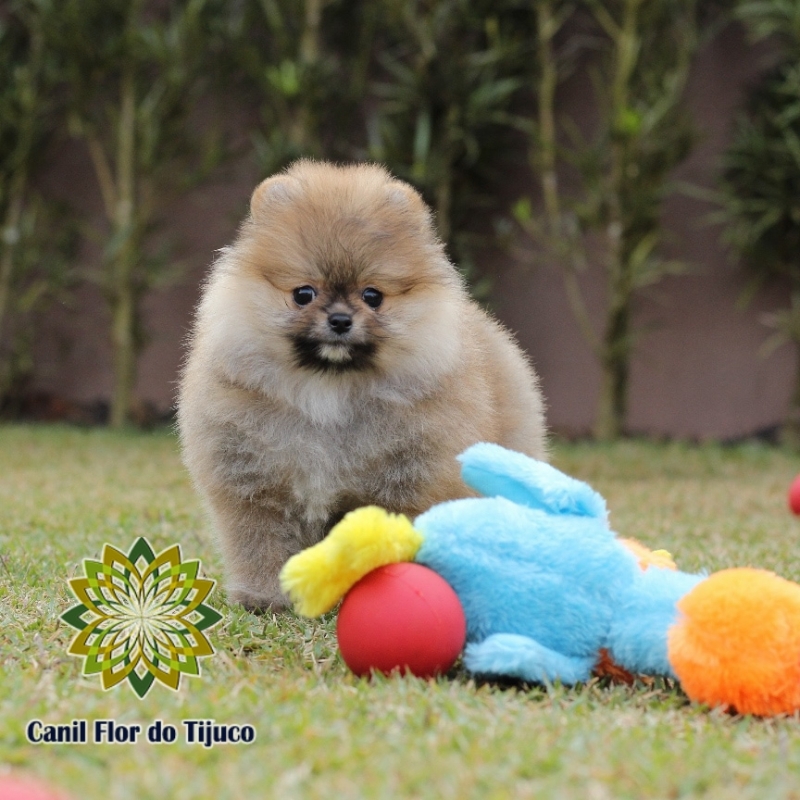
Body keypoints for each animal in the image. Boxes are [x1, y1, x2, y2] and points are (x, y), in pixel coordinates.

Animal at [177, 162, 548, 612]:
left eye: (372, 296)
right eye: (304, 293)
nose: (340, 319)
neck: (328, 390)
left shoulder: (407, 482)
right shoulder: (253, 484)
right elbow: (261, 545)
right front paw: (265, 597)